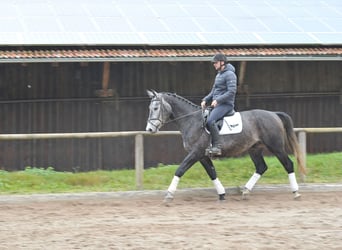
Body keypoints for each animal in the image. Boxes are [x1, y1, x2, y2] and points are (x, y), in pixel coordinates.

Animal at [146, 90, 306, 203]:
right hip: (254, 149)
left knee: (288, 164)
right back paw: (246, 191)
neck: (192, 121)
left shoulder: (195, 153)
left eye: (156, 108)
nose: (149, 129)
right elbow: (212, 173)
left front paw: (169, 194)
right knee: (261, 167)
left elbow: (180, 170)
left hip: (276, 147)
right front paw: (222, 194)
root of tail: (274, 114)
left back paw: (296, 193)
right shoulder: (202, 156)